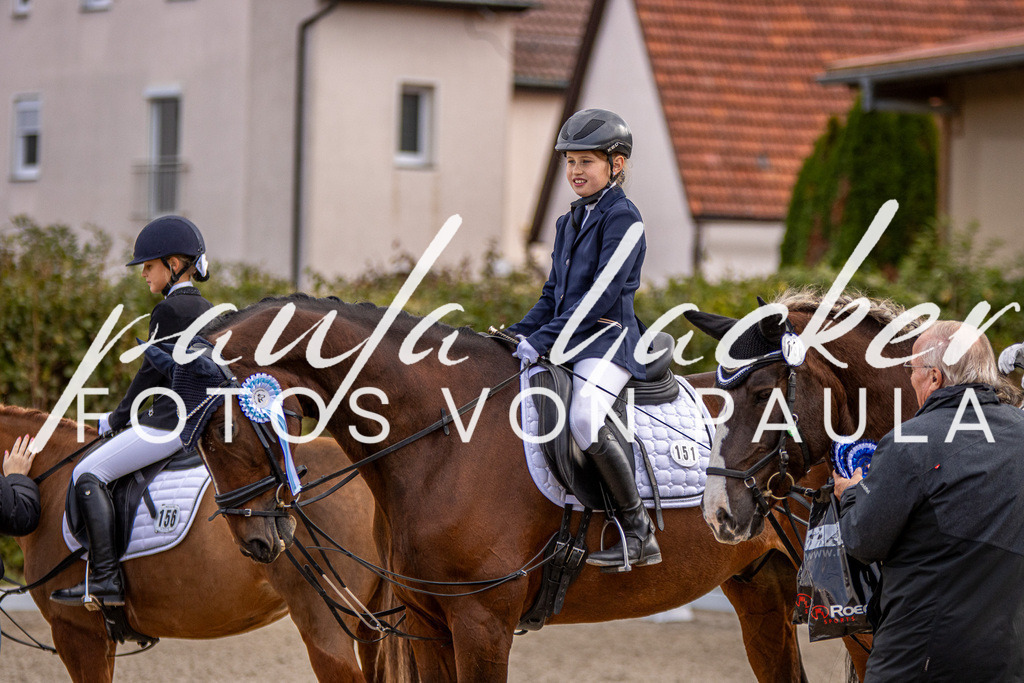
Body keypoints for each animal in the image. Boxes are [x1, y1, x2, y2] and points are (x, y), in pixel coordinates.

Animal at [182, 293, 823, 682]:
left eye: (219, 428)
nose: (258, 541)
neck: (443, 438)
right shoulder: (427, 622)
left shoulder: (481, 621)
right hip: (761, 586)